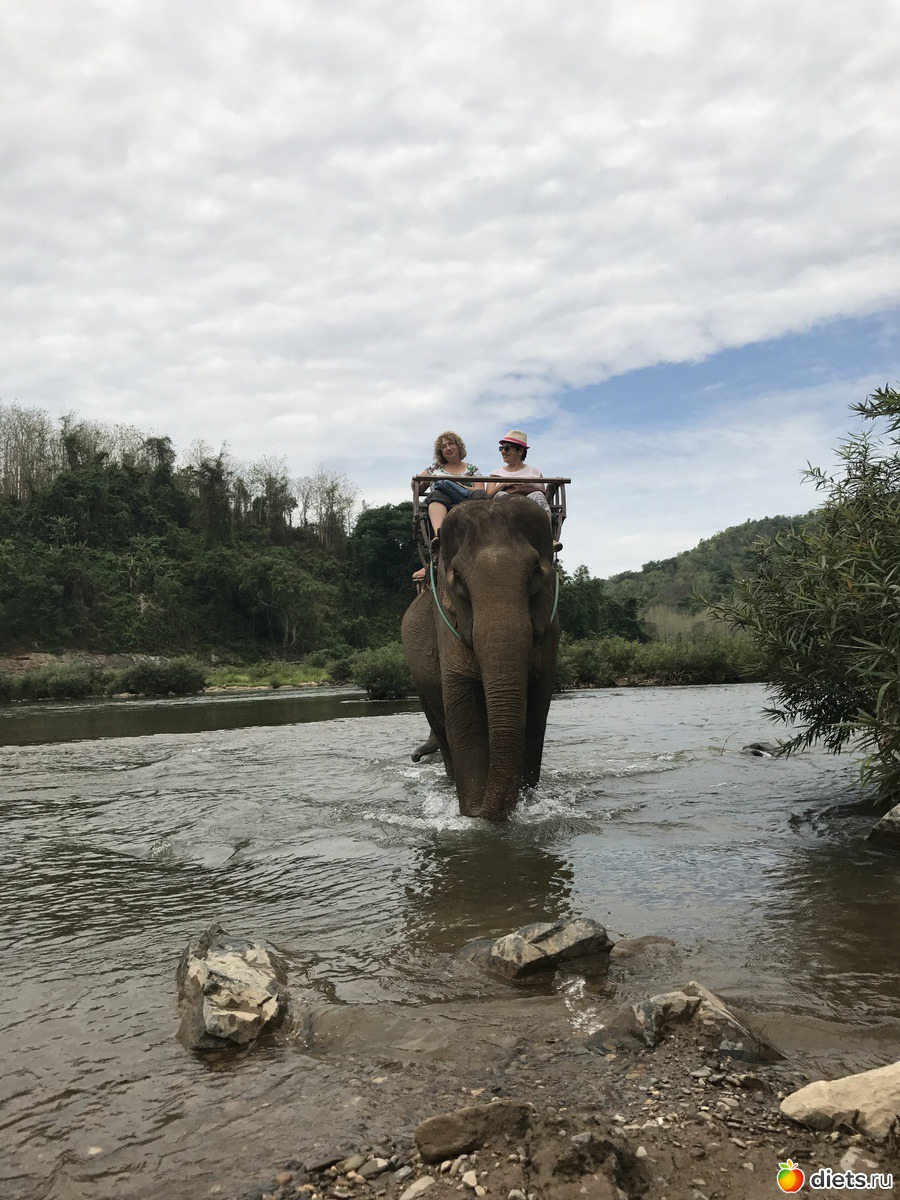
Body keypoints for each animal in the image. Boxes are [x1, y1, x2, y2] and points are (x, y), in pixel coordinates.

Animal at [401, 496, 560, 820]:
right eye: (459, 579)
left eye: (535, 572)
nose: (413, 757)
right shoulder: (446, 625)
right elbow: (463, 707)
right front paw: (472, 812)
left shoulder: (551, 625)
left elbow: (536, 711)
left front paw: (523, 802)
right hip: (419, 681)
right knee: (441, 726)